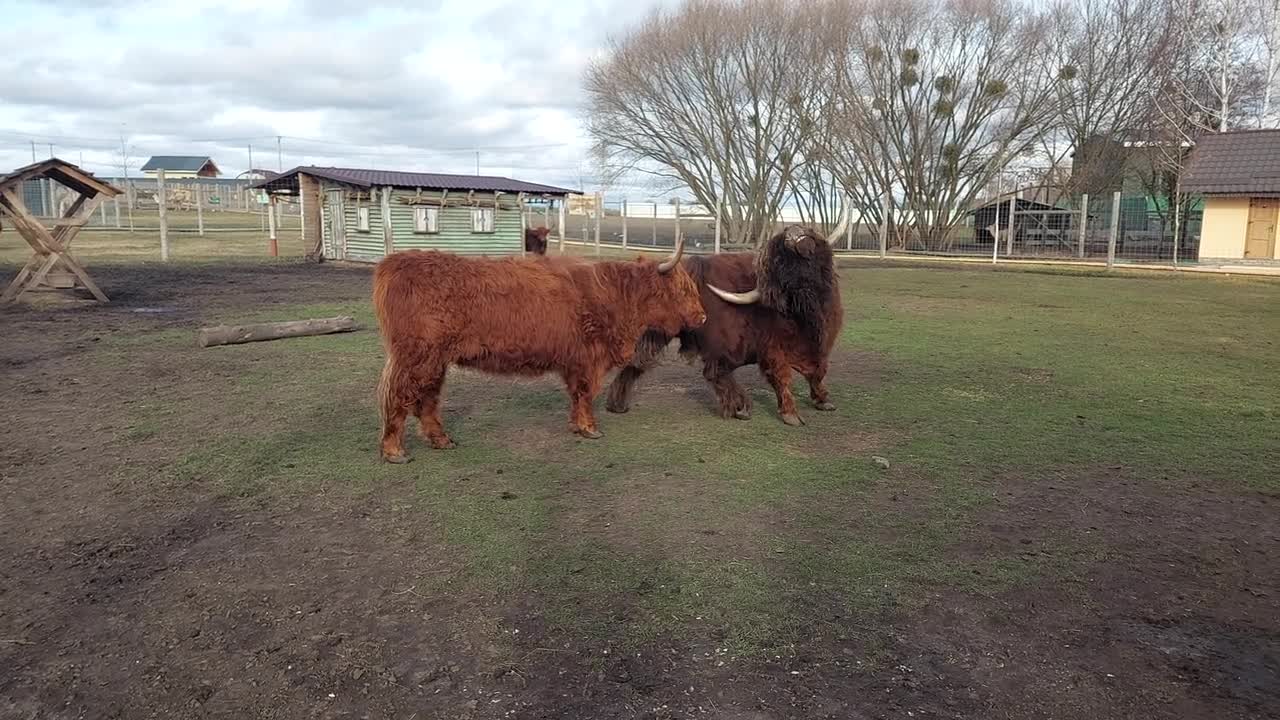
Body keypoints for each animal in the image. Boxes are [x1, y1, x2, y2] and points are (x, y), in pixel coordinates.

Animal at [371, 235, 711, 458]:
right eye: (683, 289)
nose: (703, 316)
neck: (619, 297)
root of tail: (395, 262)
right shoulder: (589, 358)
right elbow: (586, 394)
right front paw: (590, 428)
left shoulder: (575, 361)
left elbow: (576, 395)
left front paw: (577, 426)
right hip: (417, 356)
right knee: (399, 395)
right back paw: (394, 450)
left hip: (434, 360)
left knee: (427, 398)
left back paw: (441, 440)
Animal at [604, 222, 844, 425]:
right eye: (780, 263)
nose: (792, 232)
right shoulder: (771, 349)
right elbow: (782, 376)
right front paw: (791, 415)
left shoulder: (821, 345)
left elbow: (818, 371)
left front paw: (824, 401)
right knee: (708, 370)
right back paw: (740, 406)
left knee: (642, 360)